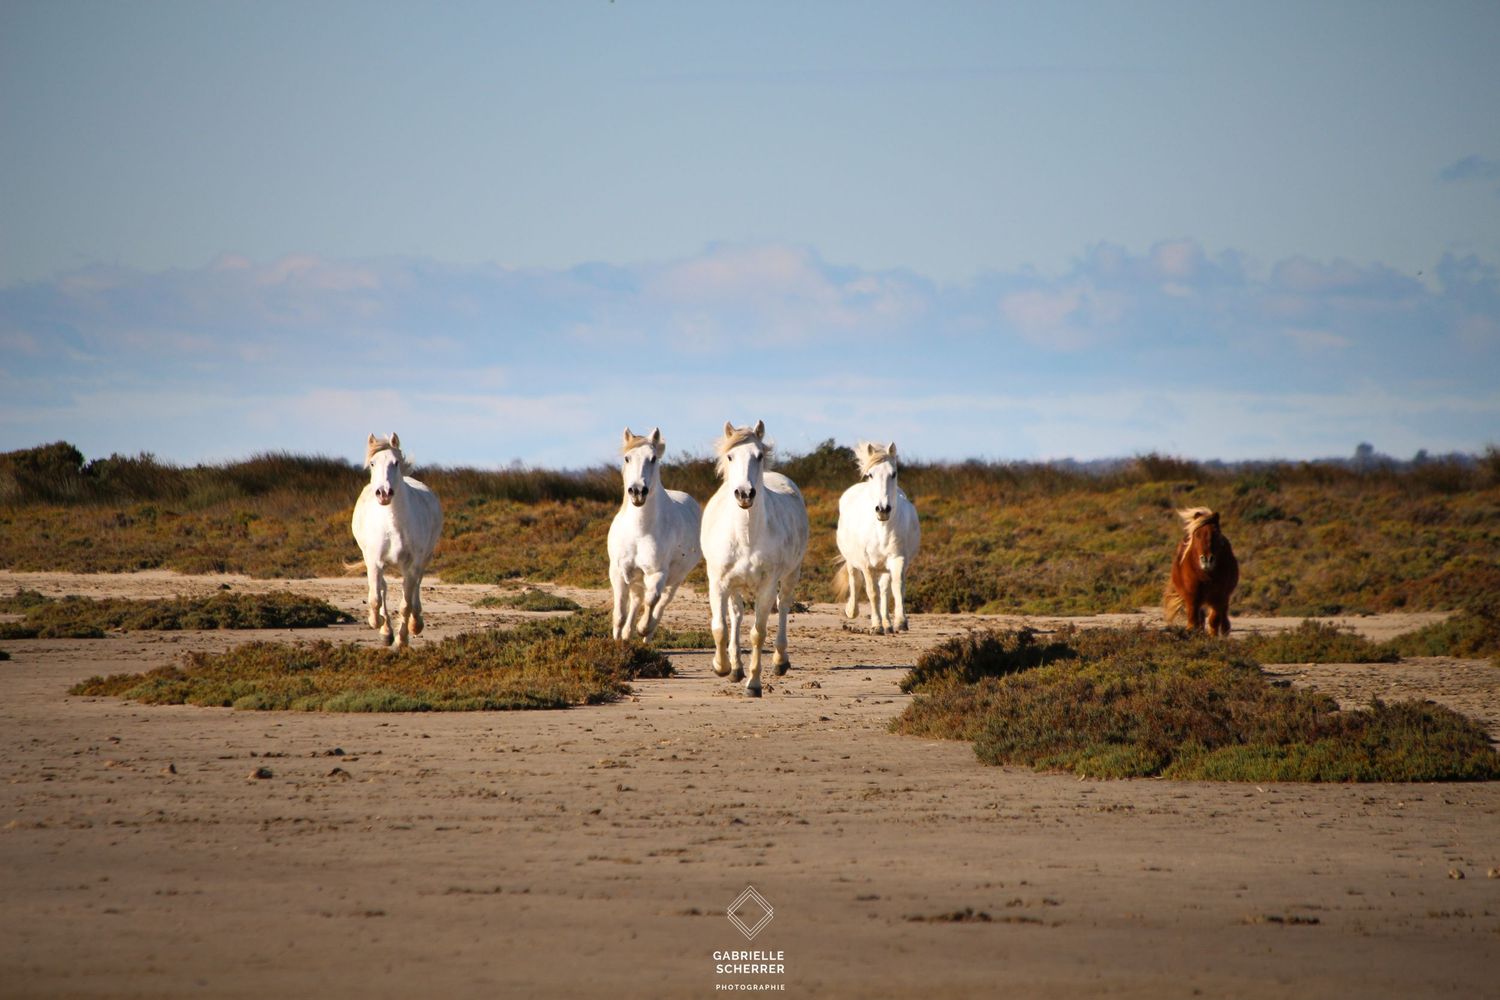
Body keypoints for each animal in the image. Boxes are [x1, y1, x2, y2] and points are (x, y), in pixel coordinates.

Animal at [349, 433, 443, 648]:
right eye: (373, 463)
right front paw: (378, 625)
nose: (384, 493)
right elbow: (376, 597)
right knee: (383, 588)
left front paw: (402, 640)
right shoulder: (374, 562)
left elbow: (405, 604)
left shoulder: (412, 565)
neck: (393, 526)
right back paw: (386, 631)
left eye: (395, 462)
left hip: (422, 560)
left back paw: (415, 624)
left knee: (415, 588)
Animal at [606, 427, 703, 640]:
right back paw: (627, 634)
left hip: (675, 578)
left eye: (652, 458)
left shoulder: (657, 573)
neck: (639, 532)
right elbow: (620, 611)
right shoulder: (618, 571)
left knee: (662, 602)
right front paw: (617, 638)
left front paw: (643, 628)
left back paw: (647, 633)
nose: (637, 491)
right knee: (636, 599)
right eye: (627, 458)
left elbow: (652, 600)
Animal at [699, 420, 810, 697]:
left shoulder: (767, 585)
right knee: (736, 614)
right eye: (730, 456)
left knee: (783, 606)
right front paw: (722, 667)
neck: (746, 535)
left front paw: (754, 685)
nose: (744, 494)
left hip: (791, 574)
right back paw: (736, 668)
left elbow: (758, 633)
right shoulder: (718, 583)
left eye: (758, 455)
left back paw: (780, 662)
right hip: (734, 585)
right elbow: (720, 627)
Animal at [834, 441, 920, 634]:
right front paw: (876, 625)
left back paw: (888, 624)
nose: (883, 510)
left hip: (885, 566)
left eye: (893, 474)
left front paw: (900, 622)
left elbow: (896, 588)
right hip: (851, 558)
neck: (881, 529)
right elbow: (871, 592)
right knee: (854, 579)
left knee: (885, 589)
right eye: (870, 474)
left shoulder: (897, 558)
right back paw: (852, 611)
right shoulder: (867, 564)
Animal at [1163, 506, 1238, 636]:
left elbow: (1214, 620)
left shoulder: (1219, 596)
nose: (1207, 559)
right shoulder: (1192, 597)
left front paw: (1213, 636)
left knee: (1221, 615)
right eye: (1197, 534)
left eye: (1216, 534)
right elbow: (1193, 621)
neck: (1206, 575)